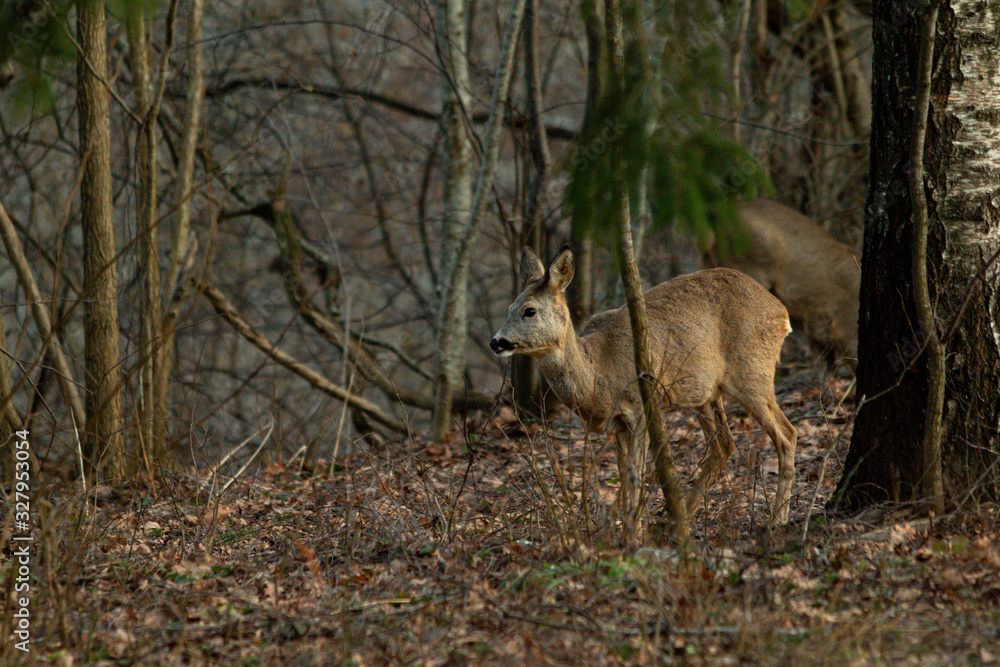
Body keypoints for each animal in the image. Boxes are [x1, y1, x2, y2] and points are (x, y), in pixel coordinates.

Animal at [490, 248, 798, 526]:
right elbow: (624, 475)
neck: (598, 371)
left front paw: (631, 532)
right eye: (508, 309)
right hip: (705, 394)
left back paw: (777, 520)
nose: (496, 342)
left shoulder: (639, 407)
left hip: (751, 373)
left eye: (530, 311)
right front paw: (620, 523)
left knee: (787, 434)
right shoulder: (617, 423)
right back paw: (677, 518)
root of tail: (782, 313)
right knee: (724, 445)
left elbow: (635, 475)